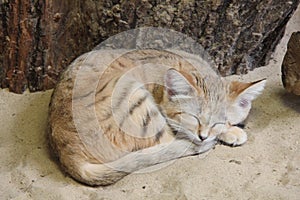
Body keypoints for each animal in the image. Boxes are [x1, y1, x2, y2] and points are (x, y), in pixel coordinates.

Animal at [48, 48, 266, 186]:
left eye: (220, 122)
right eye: (193, 118)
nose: (203, 136)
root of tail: (67, 153)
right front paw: (233, 133)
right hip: (132, 94)